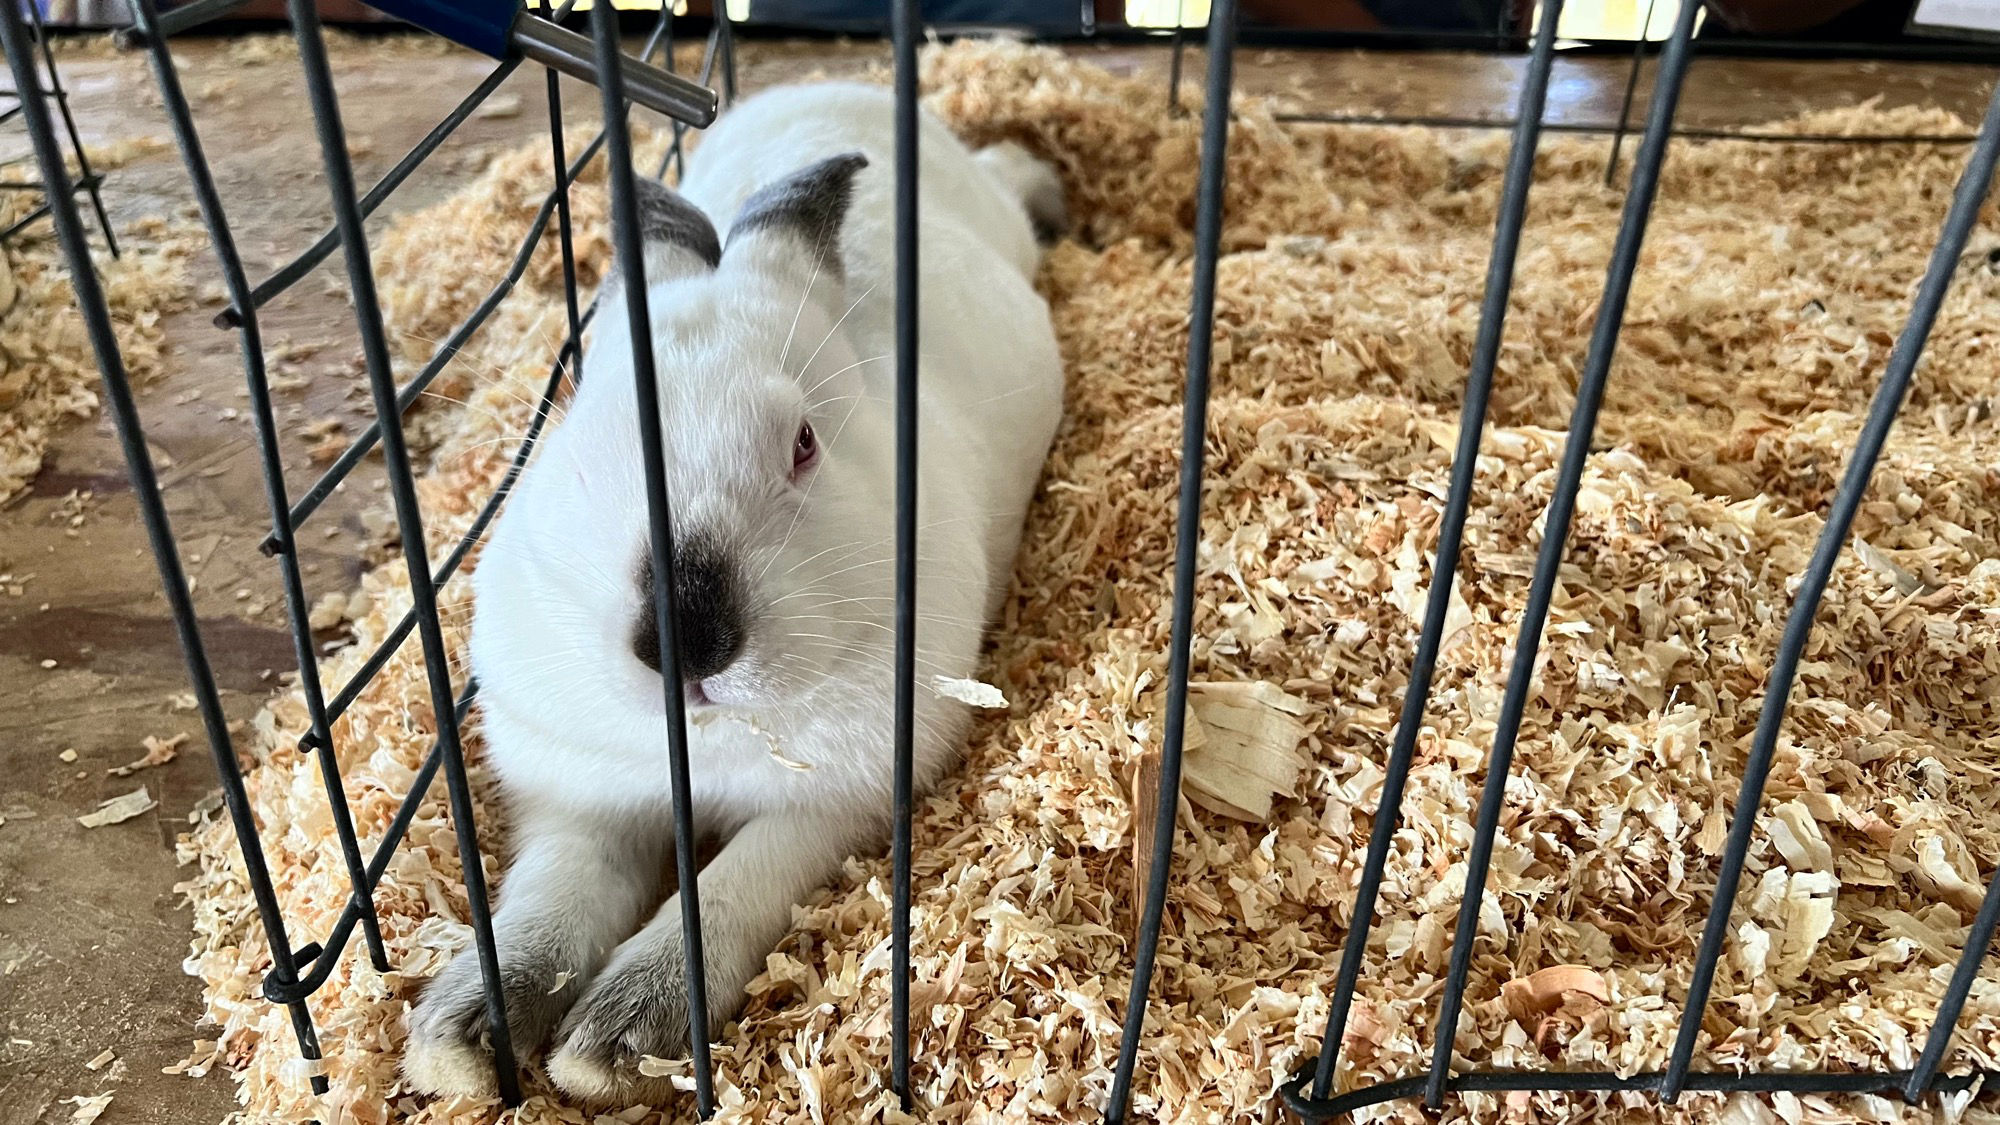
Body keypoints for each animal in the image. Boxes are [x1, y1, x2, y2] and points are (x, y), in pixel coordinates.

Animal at [396, 81, 1072, 1104]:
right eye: (577, 446)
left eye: (804, 442)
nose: (686, 636)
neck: (703, 744)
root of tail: (840, 87)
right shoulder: (579, 797)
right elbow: (550, 900)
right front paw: (465, 1039)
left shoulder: (830, 808)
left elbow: (721, 897)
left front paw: (614, 1046)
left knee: (1007, 175)